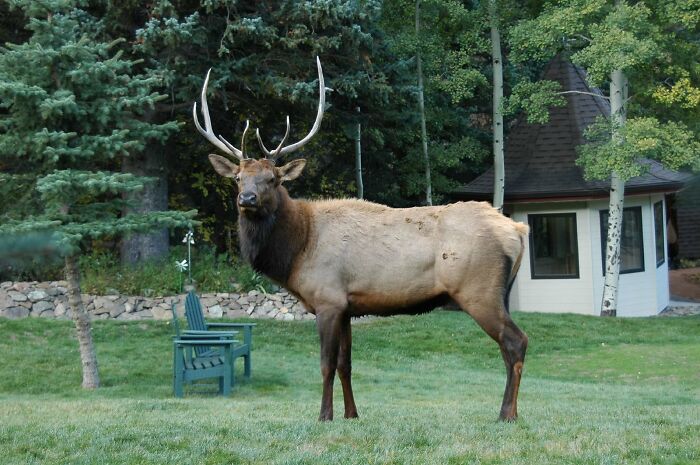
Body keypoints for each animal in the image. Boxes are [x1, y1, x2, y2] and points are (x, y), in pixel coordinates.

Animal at [194, 57, 528, 420]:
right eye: (238, 178)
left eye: (273, 179)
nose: (248, 199)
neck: (296, 252)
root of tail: (517, 230)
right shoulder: (347, 306)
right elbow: (346, 364)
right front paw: (351, 414)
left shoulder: (327, 299)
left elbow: (326, 364)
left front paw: (324, 415)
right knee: (508, 346)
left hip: (478, 290)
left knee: (516, 342)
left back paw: (507, 414)